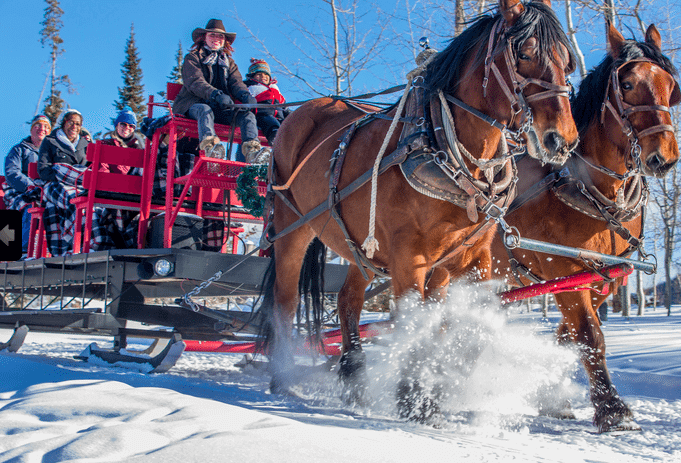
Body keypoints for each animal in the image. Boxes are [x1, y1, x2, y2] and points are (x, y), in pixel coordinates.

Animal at [258, 0, 576, 414]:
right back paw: (283, 378)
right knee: (285, 300)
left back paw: (355, 380)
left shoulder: (470, 258)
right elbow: (413, 321)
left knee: (348, 299)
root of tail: (298, 113)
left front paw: (440, 386)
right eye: (524, 53)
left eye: (568, 62)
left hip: (361, 246)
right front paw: (413, 397)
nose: (562, 141)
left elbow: (455, 325)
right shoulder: (409, 257)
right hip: (291, 228)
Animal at [448, 21, 676, 434]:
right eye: (628, 84)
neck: (589, 187)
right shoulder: (563, 267)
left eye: (670, 85)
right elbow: (589, 334)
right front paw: (613, 410)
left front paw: (551, 395)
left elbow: (570, 336)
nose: (663, 157)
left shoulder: (603, 274)